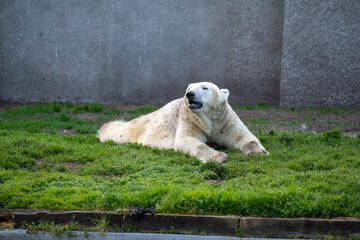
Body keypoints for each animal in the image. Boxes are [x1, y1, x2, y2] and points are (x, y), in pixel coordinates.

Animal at [97, 81, 268, 162]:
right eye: (188, 88)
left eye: (205, 87)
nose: (190, 94)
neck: (210, 120)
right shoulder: (190, 120)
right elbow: (188, 140)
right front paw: (219, 156)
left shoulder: (225, 121)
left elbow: (243, 136)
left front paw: (259, 152)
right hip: (138, 127)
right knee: (118, 131)